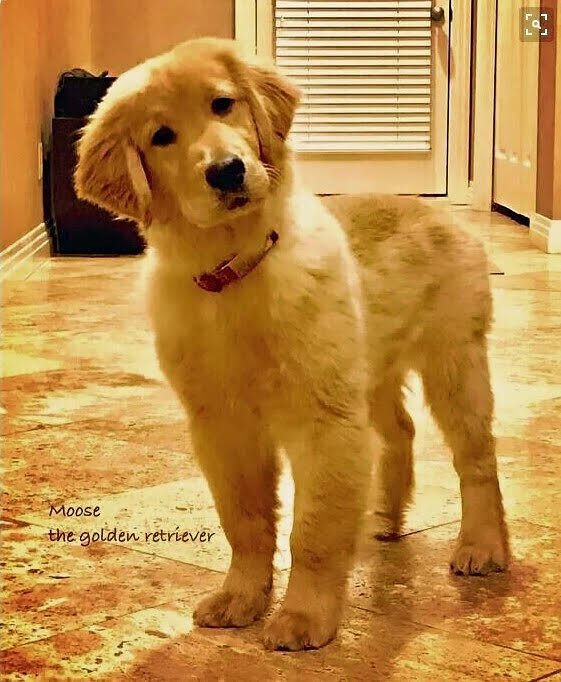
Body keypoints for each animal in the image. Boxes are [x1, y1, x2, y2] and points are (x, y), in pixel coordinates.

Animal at [74, 38, 509, 651]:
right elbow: (246, 521)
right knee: (398, 432)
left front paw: (305, 616)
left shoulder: (322, 420)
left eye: (223, 104)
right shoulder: (223, 427)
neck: (234, 270)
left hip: (454, 362)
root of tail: (434, 210)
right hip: (367, 370)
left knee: (477, 458)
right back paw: (384, 517)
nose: (227, 171)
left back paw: (482, 545)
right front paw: (241, 597)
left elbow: (315, 529)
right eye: (161, 136)